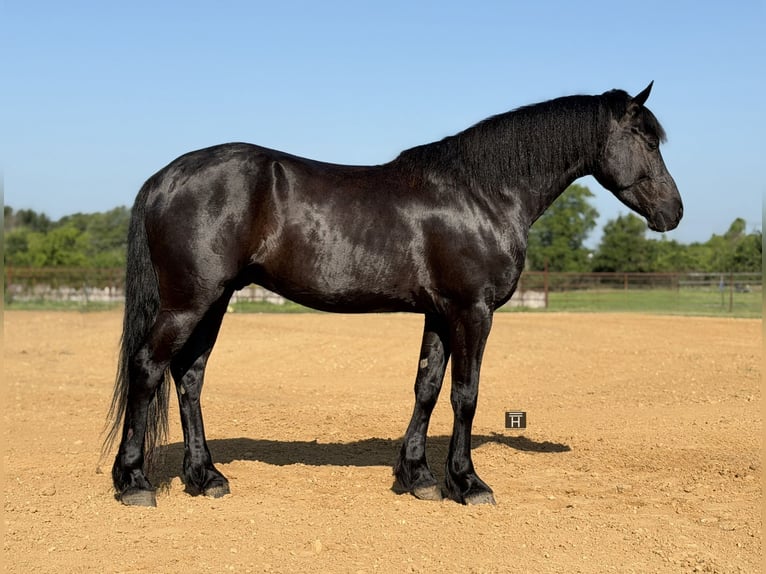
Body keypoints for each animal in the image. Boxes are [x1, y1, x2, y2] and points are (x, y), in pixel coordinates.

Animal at [104, 82, 682, 507]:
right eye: (648, 140)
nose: (673, 212)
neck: (482, 193)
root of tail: (163, 179)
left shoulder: (440, 312)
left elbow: (427, 387)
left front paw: (418, 476)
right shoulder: (472, 312)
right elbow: (466, 395)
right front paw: (468, 484)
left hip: (214, 300)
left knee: (189, 377)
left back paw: (207, 477)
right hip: (189, 301)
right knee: (149, 367)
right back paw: (134, 483)